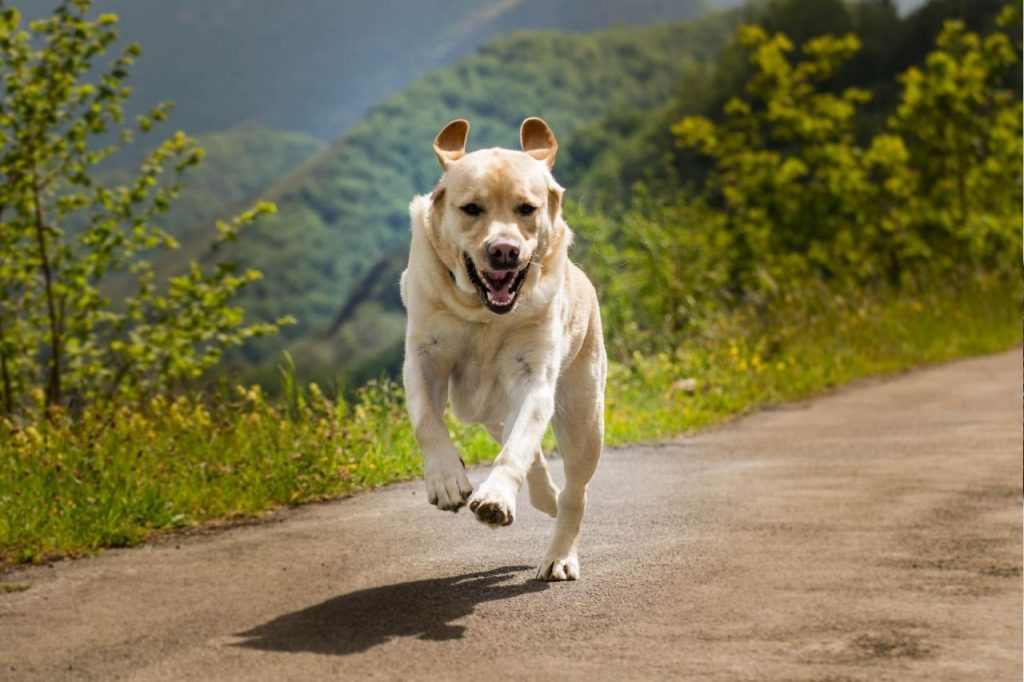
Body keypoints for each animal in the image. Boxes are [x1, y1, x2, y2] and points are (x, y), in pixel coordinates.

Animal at [401, 116, 606, 577]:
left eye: (526, 209)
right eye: (471, 208)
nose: (504, 251)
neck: (482, 314)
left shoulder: (534, 376)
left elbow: (519, 446)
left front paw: (495, 500)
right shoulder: (423, 355)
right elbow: (426, 418)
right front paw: (445, 479)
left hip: (583, 416)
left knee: (574, 490)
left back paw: (559, 553)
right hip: (486, 410)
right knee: (527, 450)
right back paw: (543, 498)